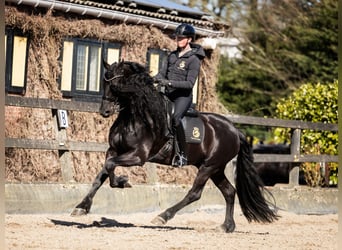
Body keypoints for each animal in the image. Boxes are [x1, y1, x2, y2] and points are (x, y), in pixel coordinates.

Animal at [71, 59, 278, 231]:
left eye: (117, 84)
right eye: (104, 82)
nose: (105, 111)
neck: (135, 116)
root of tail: (235, 130)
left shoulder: (138, 156)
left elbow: (110, 166)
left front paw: (122, 182)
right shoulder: (113, 150)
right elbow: (103, 172)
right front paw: (82, 207)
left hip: (209, 167)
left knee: (195, 193)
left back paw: (163, 216)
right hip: (216, 168)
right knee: (229, 191)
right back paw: (227, 226)